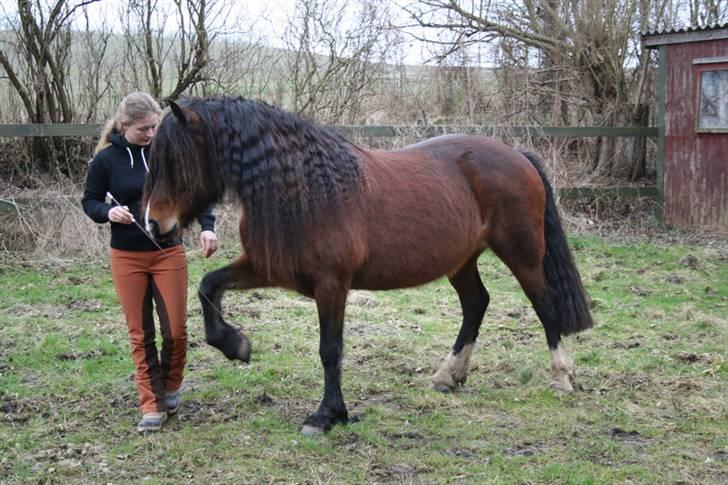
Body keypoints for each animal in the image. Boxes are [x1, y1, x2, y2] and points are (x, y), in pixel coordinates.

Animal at [141, 95, 592, 434]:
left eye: (176, 162)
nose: (152, 223)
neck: (307, 190)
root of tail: (516, 154)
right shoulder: (270, 268)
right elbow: (208, 284)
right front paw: (234, 343)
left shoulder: (331, 284)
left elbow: (330, 348)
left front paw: (327, 415)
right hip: (462, 260)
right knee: (476, 304)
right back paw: (449, 375)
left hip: (522, 254)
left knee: (544, 305)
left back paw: (561, 377)